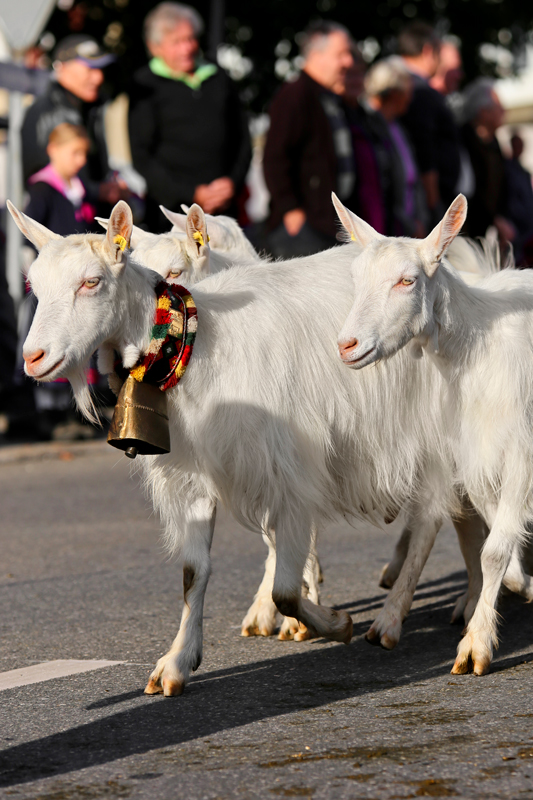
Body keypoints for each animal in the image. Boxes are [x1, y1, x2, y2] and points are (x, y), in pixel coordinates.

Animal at [10, 198, 488, 692]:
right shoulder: (199, 473)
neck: (202, 344)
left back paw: (398, 618)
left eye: (92, 282)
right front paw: (177, 661)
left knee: (433, 516)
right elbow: (195, 571)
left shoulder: (290, 469)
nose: (33, 358)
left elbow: (286, 586)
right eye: (34, 287)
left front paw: (331, 623)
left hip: (429, 430)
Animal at [334, 194, 532, 676]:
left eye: (407, 281)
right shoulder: (473, 453)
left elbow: (494, 550)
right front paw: (516, 586)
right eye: (356, 279)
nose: (346, 346)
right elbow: (492, 543)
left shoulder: (520, 453)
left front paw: (476, 645)